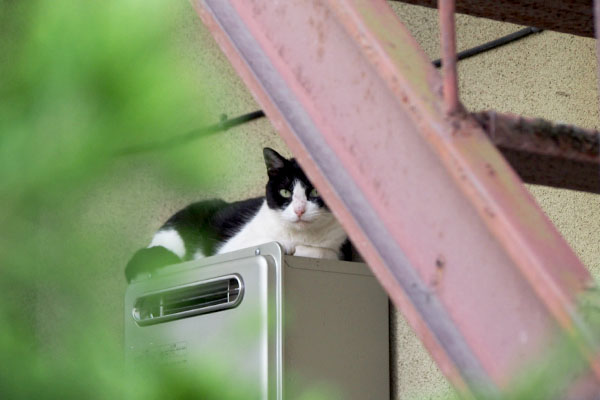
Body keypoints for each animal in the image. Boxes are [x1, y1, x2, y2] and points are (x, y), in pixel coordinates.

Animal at [127, 148, 352, 282]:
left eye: (314, 192)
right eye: (285, 192)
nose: (299, 210)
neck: (300, 235)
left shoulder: (342, 250)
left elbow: (323, 251)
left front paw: (302, 249)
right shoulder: (231, 247)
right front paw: (288, 246)